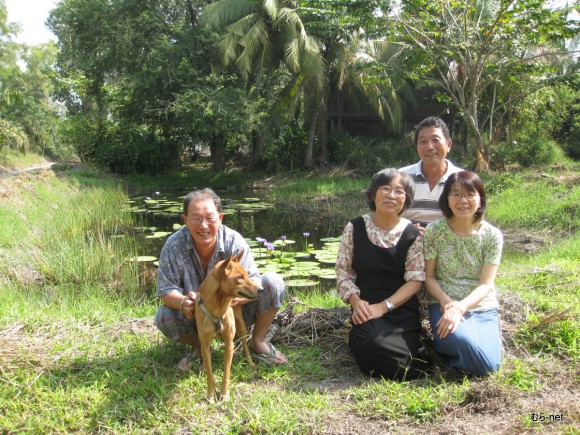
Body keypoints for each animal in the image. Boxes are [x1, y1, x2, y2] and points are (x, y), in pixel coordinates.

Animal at [195, 252, 258, 402]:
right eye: (240, 277)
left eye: (247, 275)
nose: (261, 289)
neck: (218, 308)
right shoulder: (205, 344)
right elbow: (210, 374)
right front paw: (211, 394)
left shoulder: (229, 343)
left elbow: (227, 373)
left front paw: (224, 394)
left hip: (241, 325)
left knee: (245, 344)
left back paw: (251, 363)